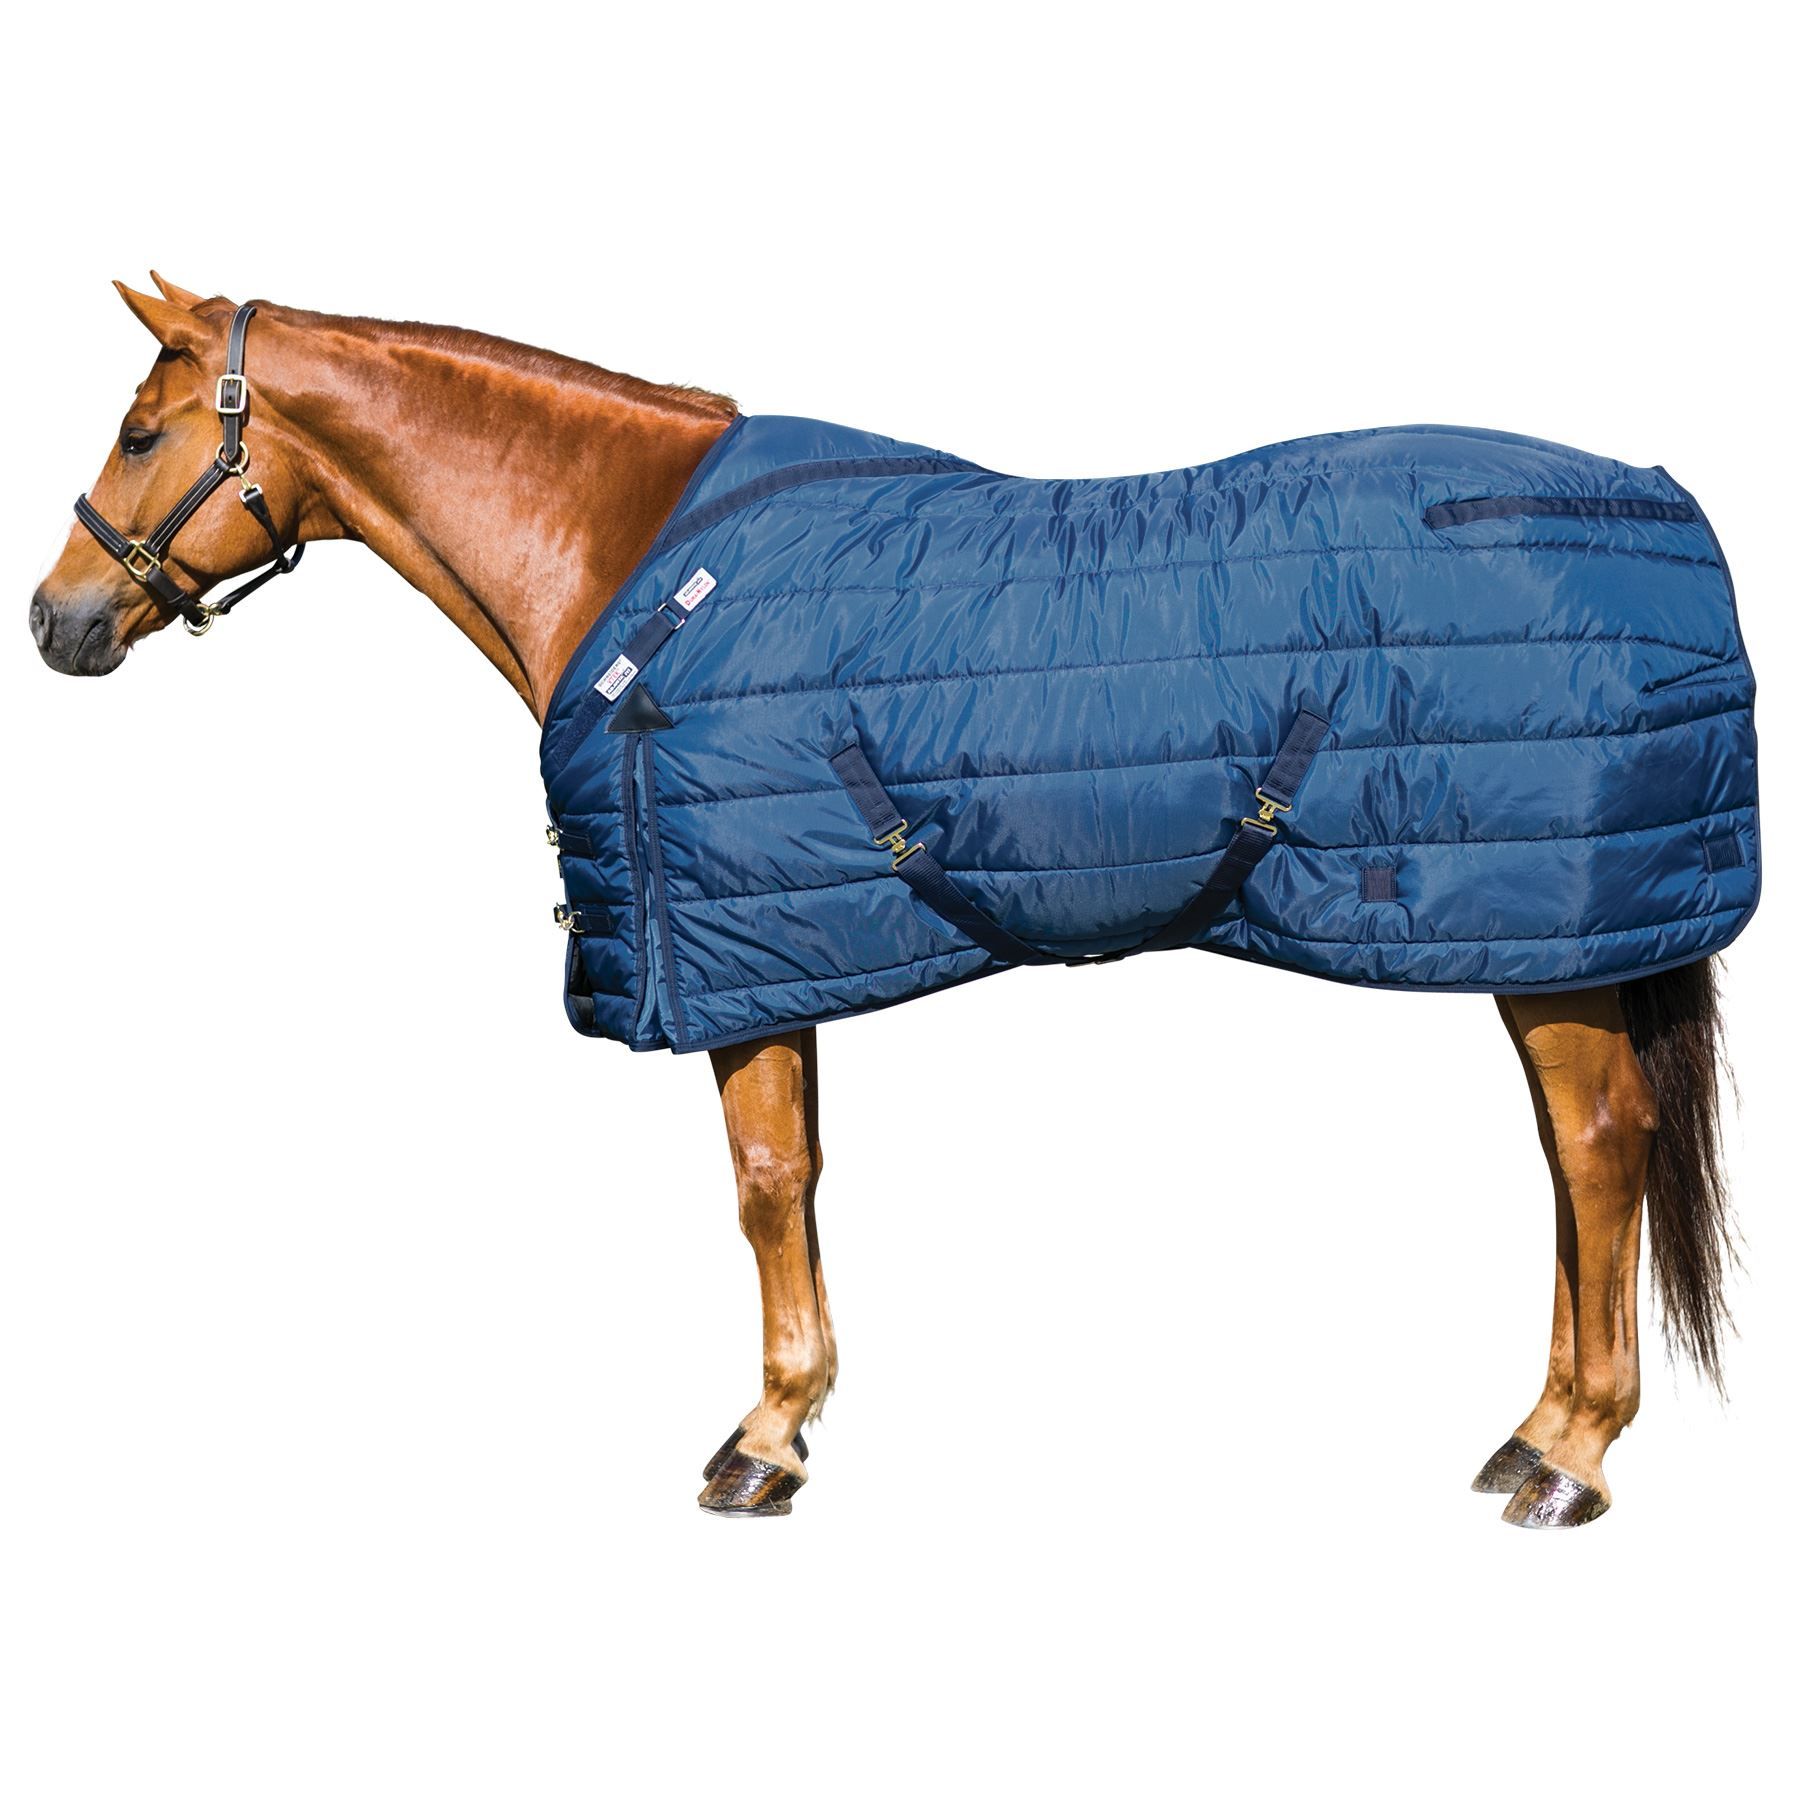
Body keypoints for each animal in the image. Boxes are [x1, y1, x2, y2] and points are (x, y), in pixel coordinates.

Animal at [29, 276, 1749, 1526]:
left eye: (137, 432)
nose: (56, 620)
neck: (640, 571)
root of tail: (1659, 509)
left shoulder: (733, 953)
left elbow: (765, 1186)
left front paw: (765, 1439)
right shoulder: (770, 944)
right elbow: (791, 1180)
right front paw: (788, 1418)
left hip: (1543, 943)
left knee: (1600, 1155)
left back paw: (1571, 1458)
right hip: (1544, 942)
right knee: (1572, 1169)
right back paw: (1533, 1434)